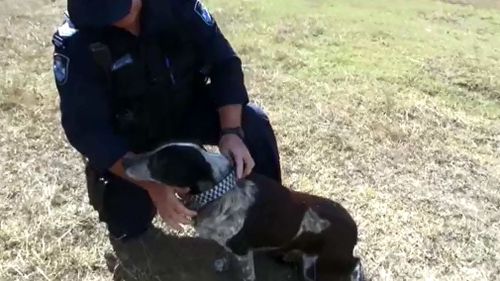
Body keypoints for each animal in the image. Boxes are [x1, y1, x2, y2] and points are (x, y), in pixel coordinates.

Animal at [121, 142, 364, 280]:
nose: (124, 160)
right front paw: (222, 262)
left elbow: (246, 273)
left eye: (160, 161)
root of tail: (354, 228)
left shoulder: (243, 251)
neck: (218, 192)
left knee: (356, 262)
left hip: (327, 264)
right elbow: (225, 252)